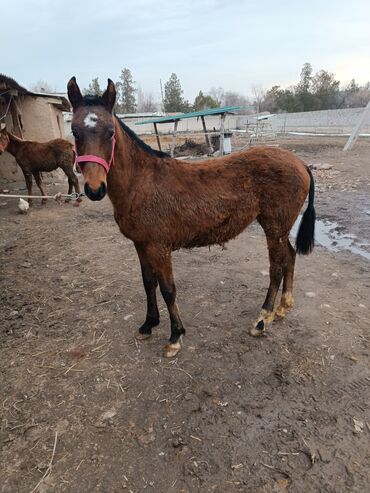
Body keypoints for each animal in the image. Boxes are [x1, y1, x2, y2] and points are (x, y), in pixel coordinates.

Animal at [67, 77, 316, 358]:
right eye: (75, 132)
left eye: (110, 132)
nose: (94, 189)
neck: (141, 183)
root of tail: (300, 163)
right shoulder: (141, 245)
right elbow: (148, 283)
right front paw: (148, 324)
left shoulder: (159, 247)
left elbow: (168, 289)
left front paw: (175, 336)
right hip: (280, 228)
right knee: (290, 257)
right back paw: (283, 307)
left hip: (274, 228)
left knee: (276, 267)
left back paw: (262, 320)